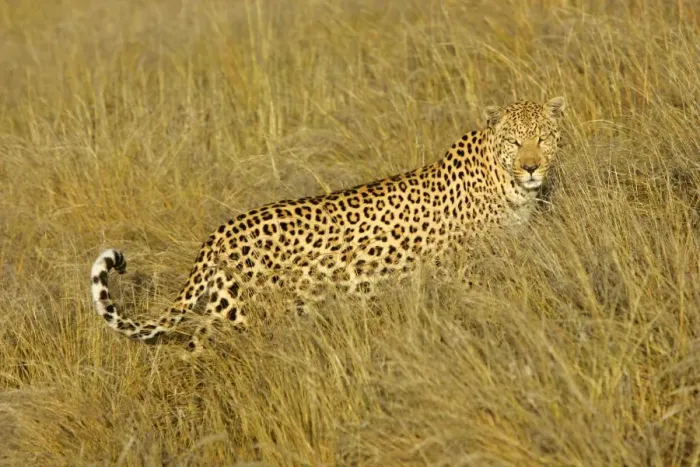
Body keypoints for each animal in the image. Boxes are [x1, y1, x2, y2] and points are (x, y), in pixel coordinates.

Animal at [90, 96, 566, 353]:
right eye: (515, 142)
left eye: (542, 138)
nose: (530, 167)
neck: (508, 184)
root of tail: (218, 235)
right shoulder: (466, 269)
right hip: (244, 319)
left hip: (226, 311)